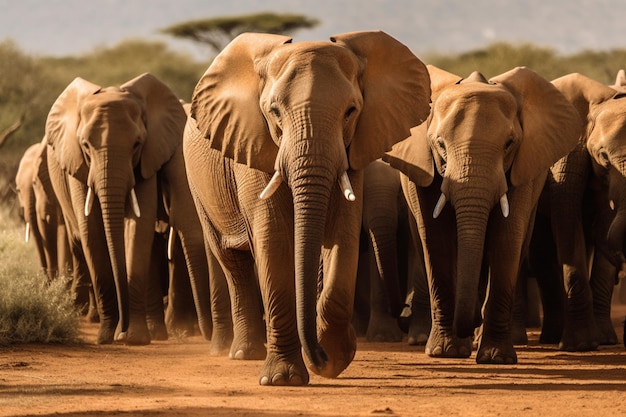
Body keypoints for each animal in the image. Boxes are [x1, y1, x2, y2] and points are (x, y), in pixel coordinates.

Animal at [45, 72, 212, 344]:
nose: (120, 331)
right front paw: (105, 337)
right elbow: (91, 228)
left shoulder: (148, 157)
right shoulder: (76, 160)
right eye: (86, 145)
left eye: (136, 144)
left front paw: (133, 338)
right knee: (78, 238)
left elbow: (139, 225)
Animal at [183, 30, 432, 386]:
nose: (321, 357)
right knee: (233, 263)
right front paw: (282, 379)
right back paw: (245, 353)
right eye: (274, 112)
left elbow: (343, 237)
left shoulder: (353, 149)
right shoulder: (254, 143)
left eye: (351, 111)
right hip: (198, 184)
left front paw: (335, 358)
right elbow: (273, 240)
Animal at [386, 65, 580, 364]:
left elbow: (507, 237)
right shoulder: (423, 167)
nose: (468, 324)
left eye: (509, 143)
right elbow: (436, 239)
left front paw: (495, 357)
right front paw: (446, 352)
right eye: (440, 144)